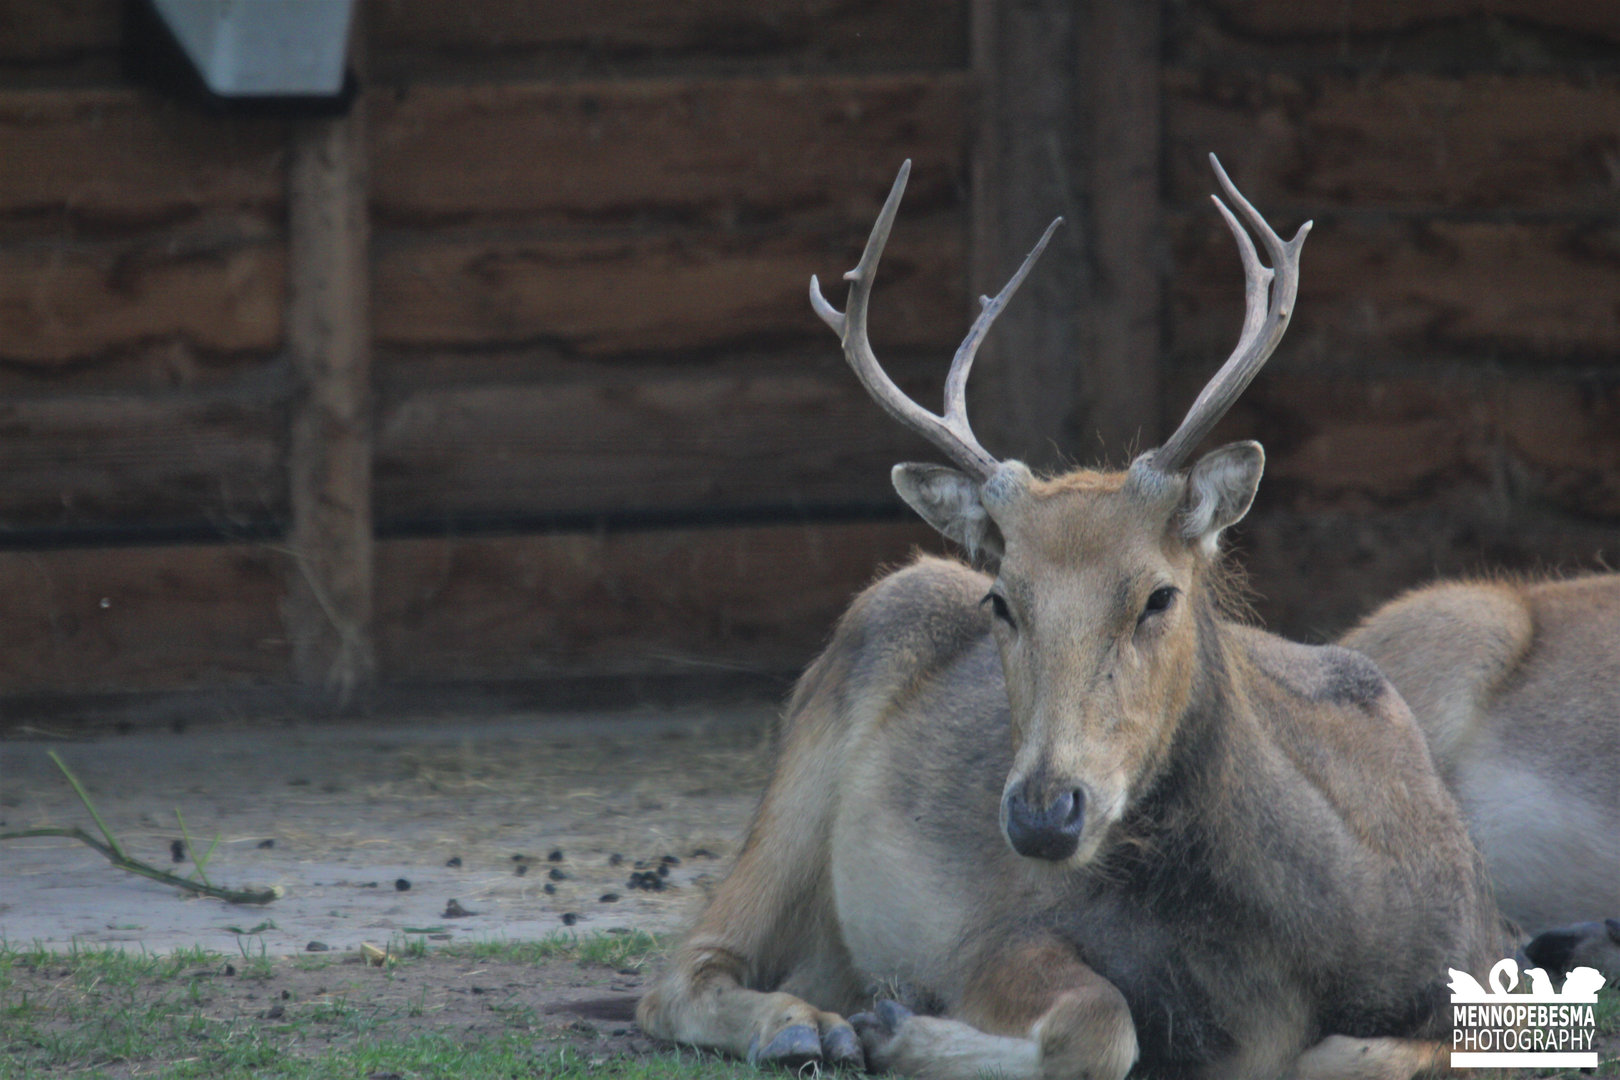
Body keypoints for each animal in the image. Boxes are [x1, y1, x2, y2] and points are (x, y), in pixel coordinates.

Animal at [636, 155, 1511, 1080]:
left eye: (1158, 595)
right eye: (1001, 599)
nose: (1042, 812)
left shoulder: (1480, 957)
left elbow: (1362, 1054)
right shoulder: (998, 931)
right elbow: (1102, 1023)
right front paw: (897, 1026)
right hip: (797, 787)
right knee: (681, 971)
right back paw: (809, 1026)